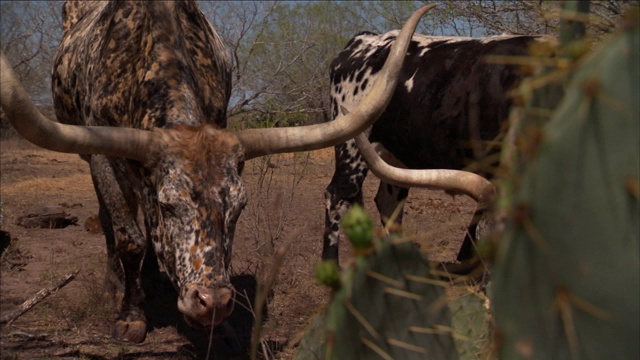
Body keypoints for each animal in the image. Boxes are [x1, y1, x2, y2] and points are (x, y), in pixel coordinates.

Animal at [0, 2, 436, 344]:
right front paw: (131, 316)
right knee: (113, 221)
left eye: (240, 207)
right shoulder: (103, 154)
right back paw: (117, 283)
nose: (212, 302)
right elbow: (130, 238)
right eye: (170, 205)